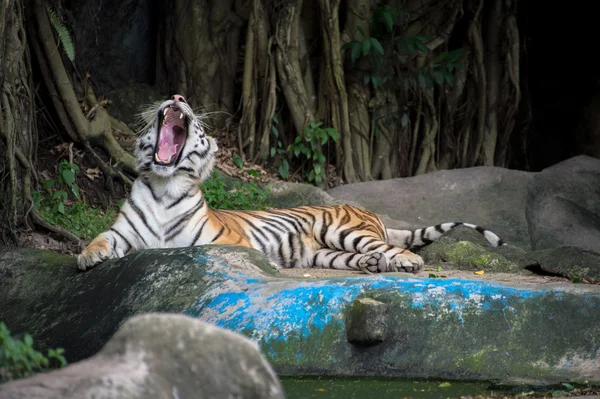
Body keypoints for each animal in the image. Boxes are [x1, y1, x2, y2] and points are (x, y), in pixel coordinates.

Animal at [76, 94, 506, 276]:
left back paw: (407, 262)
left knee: (393, 249)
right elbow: (100, 237)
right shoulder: (123, 232)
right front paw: (87, 257)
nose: (177, 96)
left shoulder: (224, 242)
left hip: (345, 231)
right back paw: (373, 266)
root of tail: (371, 213)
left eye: (192, 116)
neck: (165, 186)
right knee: (362, 257)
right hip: (324, 254)